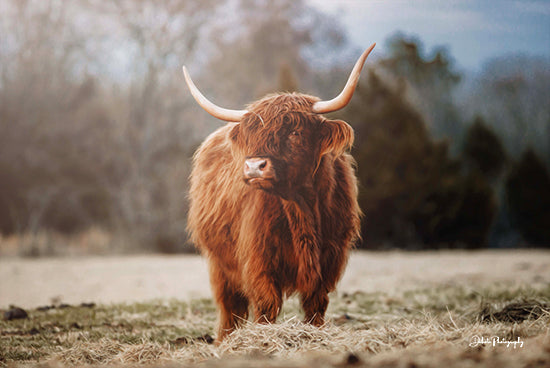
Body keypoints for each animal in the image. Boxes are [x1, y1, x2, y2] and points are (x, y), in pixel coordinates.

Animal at [184, 42, 376, 340]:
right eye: (252, 135)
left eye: (295, 132)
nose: (254, 166)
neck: (301, 206)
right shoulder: (258, 259)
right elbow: (266, 304)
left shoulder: (331, 257)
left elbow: (316, 304)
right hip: (219, 262)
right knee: (230, 307)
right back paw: (224, 340)